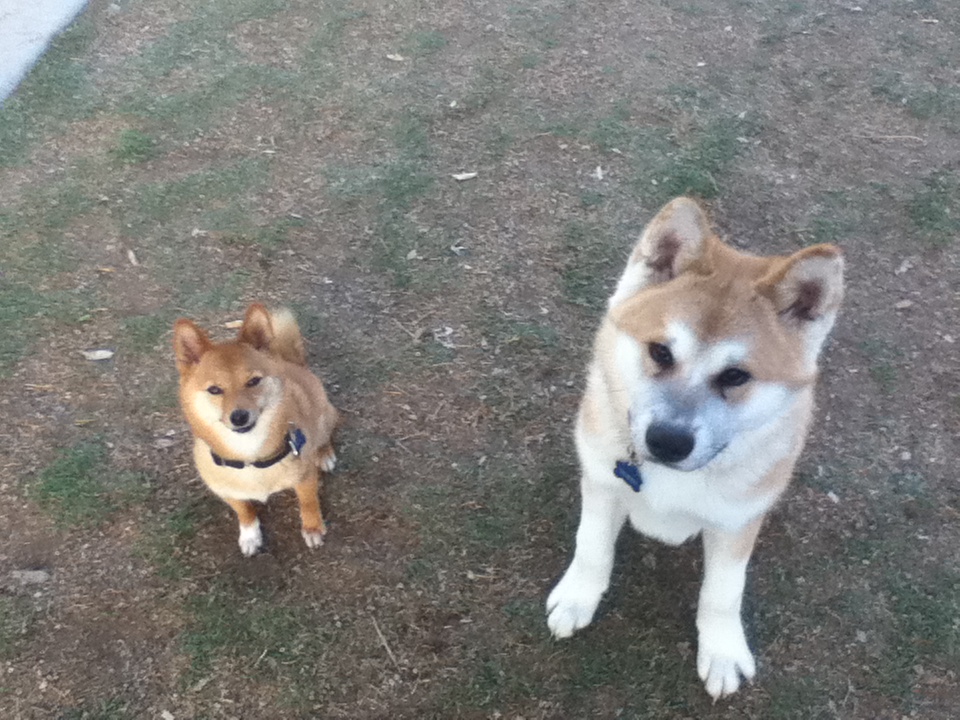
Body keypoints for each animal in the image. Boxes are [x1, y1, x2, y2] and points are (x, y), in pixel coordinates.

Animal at [174, 304, 340, 556]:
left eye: (253, 381)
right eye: (214, 390)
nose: (239, 417)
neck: (250, 457)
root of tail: (292, 363)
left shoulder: (305, 478)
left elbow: (308, 502)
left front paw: (312, 527)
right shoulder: (227, 491)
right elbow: (244, 511)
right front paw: (250, 535)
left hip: (322, 416)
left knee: (324, 435)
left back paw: (324, 454)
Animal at [544, 197, 844, 696]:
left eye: (736, 376)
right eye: (660, 352)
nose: (667, 442)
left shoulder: (736, 523)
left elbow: (723, 591)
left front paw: (721, 649)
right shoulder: (602, 484)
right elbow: (591, 544)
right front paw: (578, 596)